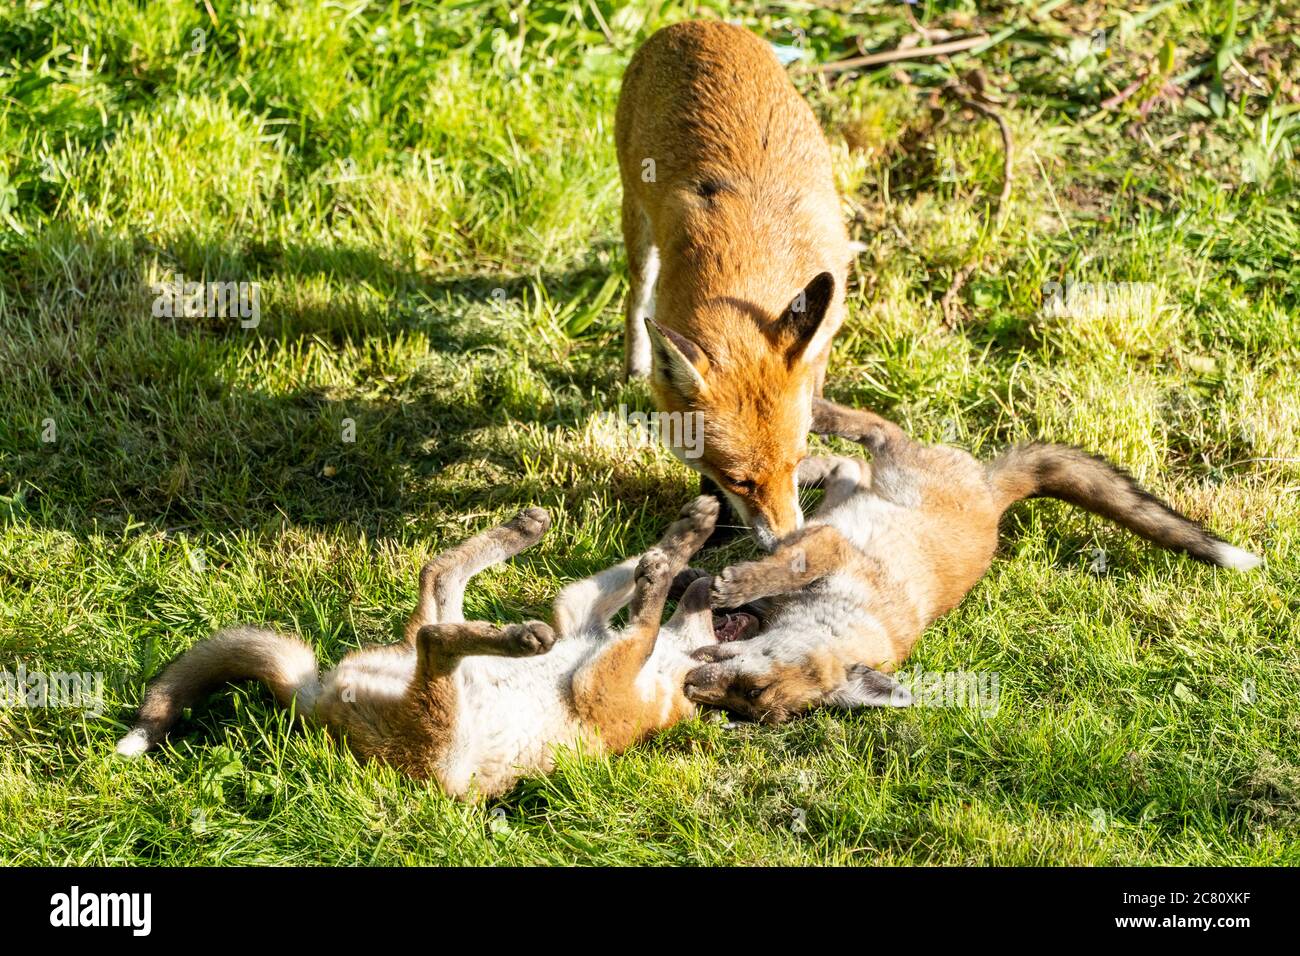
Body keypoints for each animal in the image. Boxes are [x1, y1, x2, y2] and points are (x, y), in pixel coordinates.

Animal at [116, 497, 721, 799]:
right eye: (719, 626)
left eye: (716, 644)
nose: (714, 587)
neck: (665, 681)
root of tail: (311, 704)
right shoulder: (580, 616)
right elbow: (635, 575)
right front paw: (686, 536)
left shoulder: (601, 683)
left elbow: (643, 622)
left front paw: (662, 573)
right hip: (441, 640)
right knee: (437, 574)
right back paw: (523, 534)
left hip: (445, 734)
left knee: (435, 639)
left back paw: (519, 636)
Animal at [616, 20, 853, 548]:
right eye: (740, 480)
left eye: (797, 462)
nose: (787, 543)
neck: (750, 266)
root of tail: (699, 23)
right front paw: (715, 520)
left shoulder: (826, 324)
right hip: (637, 225)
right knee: (634, 299)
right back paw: (635, 364)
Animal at [682, 398, 1263, 723]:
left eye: (750, 702)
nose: (689, 687)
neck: (849, 617)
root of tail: (994, 494)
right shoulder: (834, 550)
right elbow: (787, 563)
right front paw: (736, 582)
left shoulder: (833, 549)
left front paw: (722, 583)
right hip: (895, 472)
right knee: (873, 435)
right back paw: (812, 431)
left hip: (886, 478)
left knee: (862, 451)